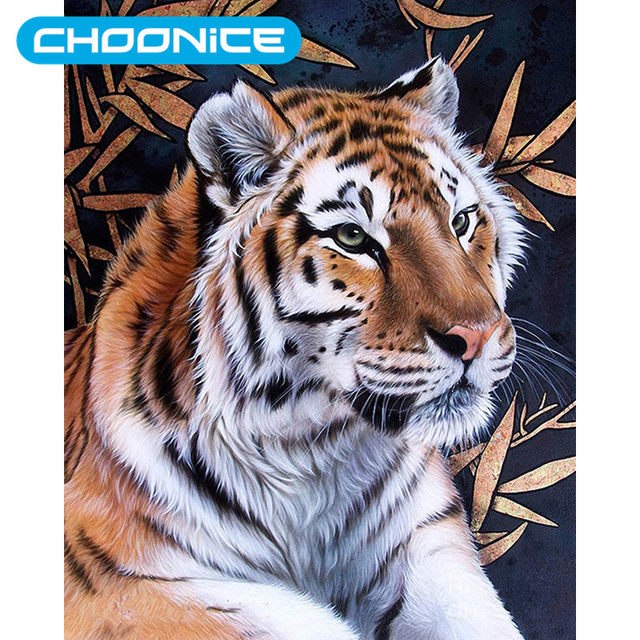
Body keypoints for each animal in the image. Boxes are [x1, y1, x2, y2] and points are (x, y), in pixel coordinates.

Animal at [64, 57, 527, 640]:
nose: (480, 336)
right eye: (352, 239)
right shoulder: (121, 583)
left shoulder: (428, 544)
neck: (312, 454)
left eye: (461, 221)